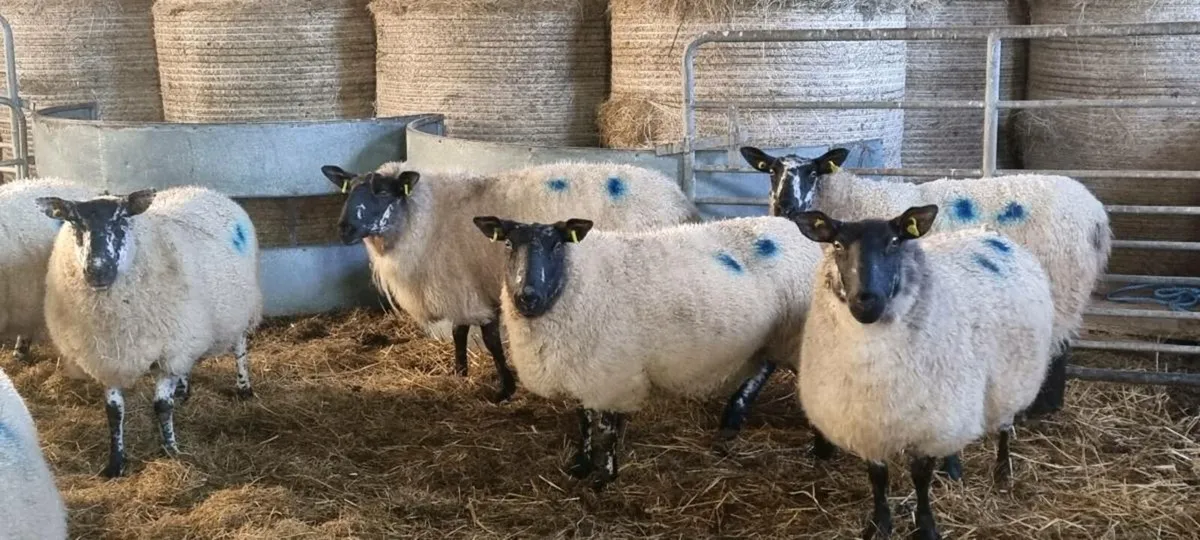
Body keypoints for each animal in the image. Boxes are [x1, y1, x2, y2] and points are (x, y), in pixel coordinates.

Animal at [37, 186, 262, 478]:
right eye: (75, 222)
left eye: (122, 219)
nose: (98, 271)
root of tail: (203, 188)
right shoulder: (108, 358)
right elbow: (114, 412)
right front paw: (115, 463)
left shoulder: (171, 349)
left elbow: (162, 407)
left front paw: (171, 452)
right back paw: (183, 389)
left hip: (239, 307)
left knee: (239, 346)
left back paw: (243, 386)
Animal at [320, 161, 699, 402]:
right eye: (348, 191)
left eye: (383, 194)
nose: (343, 228)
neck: (425, 218)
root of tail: (679, 200)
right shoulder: (466, 286)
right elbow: (460, 333)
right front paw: (460, 372)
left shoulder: (469, 290)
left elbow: (489, 339)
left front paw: (504, 388)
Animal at [470, 214, 821, 488]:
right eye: (508, 244)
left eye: (557, 245)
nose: (527, 298)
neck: (578, 280)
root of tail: (792, 226)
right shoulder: (587, 369)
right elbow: (584, 420)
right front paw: (581, 465)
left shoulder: (613, 373)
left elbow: (607, 429)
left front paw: (605, 477)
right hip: (771, 339)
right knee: (762, 369)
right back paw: (732, 421)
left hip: (799, 335)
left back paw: (818, 450)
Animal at [741, 146, 1111, 474]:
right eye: (771, 170)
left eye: (813, 172)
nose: (784, 206)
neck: (855, 201)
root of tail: (1096, 214)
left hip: (1061, 285)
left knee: (1055, 349)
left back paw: (1038, 409)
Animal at [789, 205, 1055, 540]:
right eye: (837, 244)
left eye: (894, 242)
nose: (866, 301)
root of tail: (987, 232)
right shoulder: (868, 424)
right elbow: (877, 477)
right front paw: (879, 524)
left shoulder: (928, 423)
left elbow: (920, 477)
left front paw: (925, 526)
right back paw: (953, 466)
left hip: (1011, 378)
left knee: (1005, 427)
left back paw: (1002, 471)